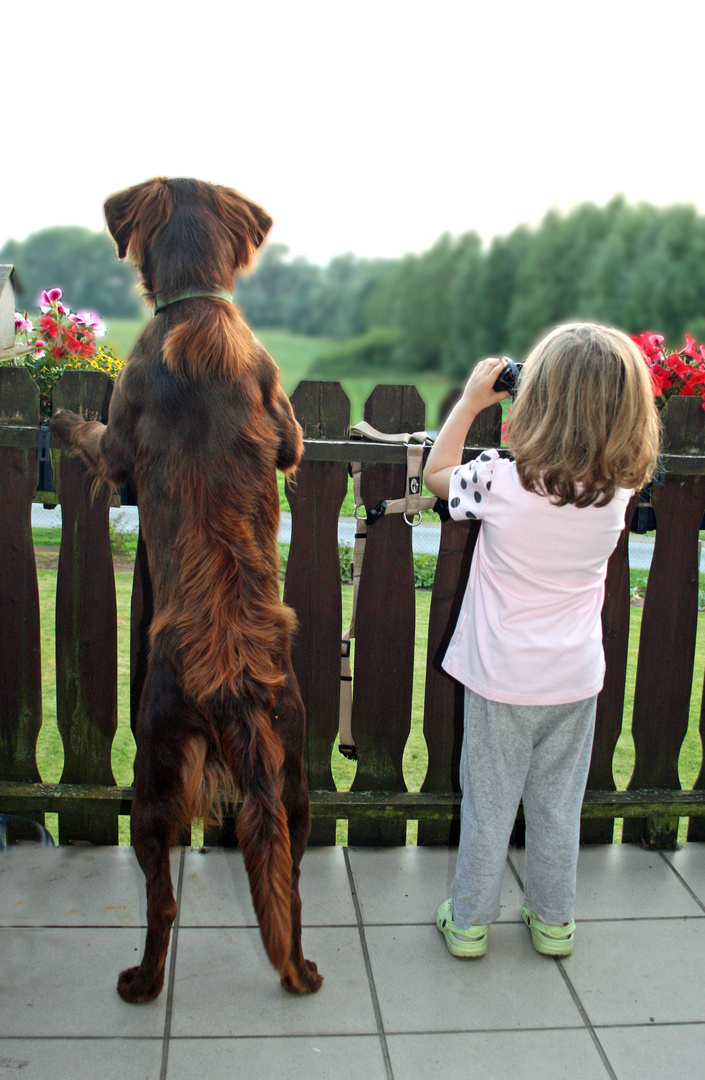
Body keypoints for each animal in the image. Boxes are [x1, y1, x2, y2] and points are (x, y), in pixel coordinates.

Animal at [50, 179, 323, 1002]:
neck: (198, 308)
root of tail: (235, 685)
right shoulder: (284, 420)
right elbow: (293, 444)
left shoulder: (121, 426)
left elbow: (97, 439)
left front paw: (63, 417)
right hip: (295, 779)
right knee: (291, 887)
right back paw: (299, 970)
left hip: (153, 773)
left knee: (162, 899)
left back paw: (142, 980)